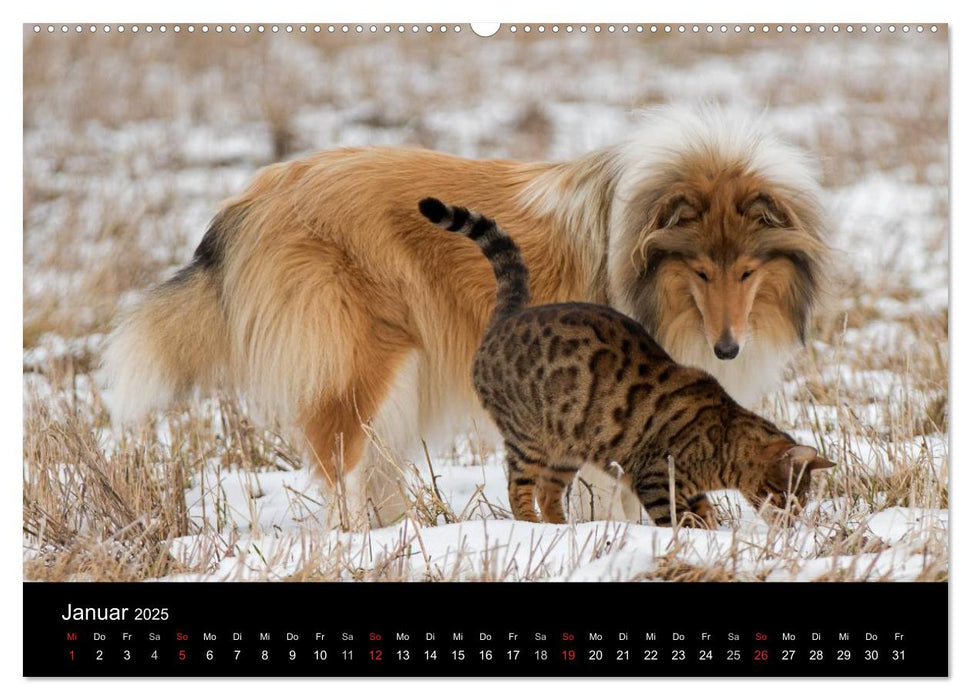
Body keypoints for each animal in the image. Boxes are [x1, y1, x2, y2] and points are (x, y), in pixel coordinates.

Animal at [108, 105, 836, 524]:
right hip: (365, 362)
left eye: (747, 271)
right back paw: (357, 550)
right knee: (341, 463)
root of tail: (250, 197)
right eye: (701, 271)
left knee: (375, 467)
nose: (727, 349)